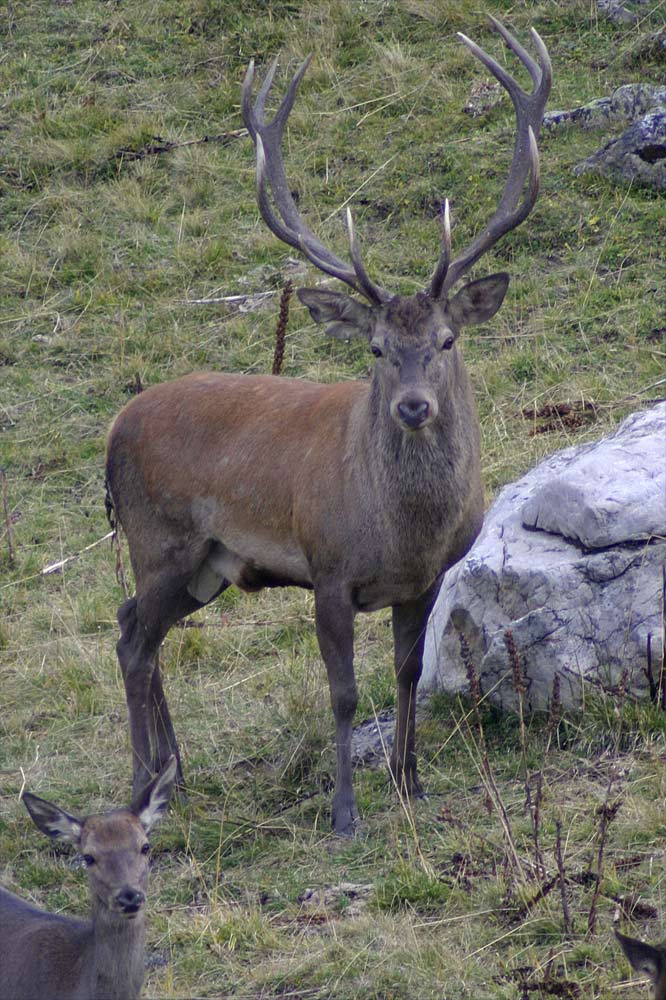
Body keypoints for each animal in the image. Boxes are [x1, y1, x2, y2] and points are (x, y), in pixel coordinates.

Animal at [104, 21, 548, 836]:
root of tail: (114, 427)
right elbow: (343, 693)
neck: (403, 530)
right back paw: (145, 780)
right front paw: (344, 813)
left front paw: (410, 782)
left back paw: (173, 774)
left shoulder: (425, 580)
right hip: (159, 539)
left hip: (208, 565)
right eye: (374, 349)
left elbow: (406, 673)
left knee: (133, 627)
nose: (413, 406)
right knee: (132, 642)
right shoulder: (330, 569)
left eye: (447, 340)